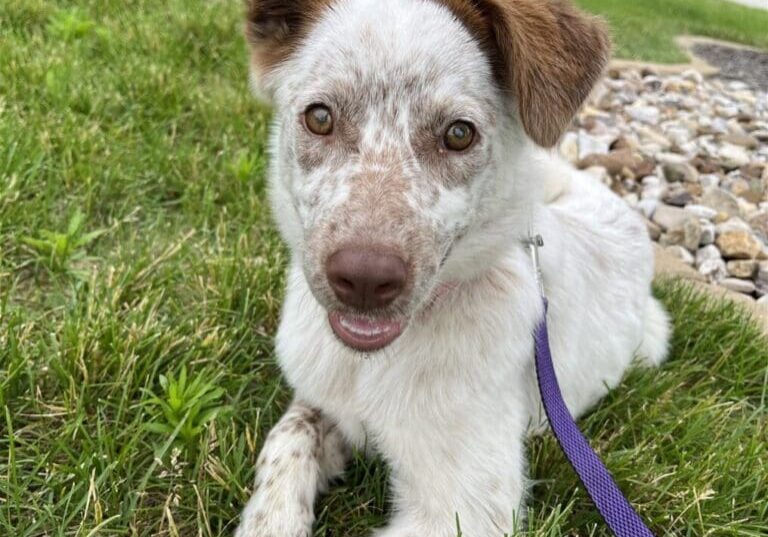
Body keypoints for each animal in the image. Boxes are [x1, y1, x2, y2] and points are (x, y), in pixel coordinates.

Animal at [237, 1, 668, 536]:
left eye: (459, 134)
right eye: (319, 117)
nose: (364, 280)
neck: (372, 365)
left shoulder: (465, 510)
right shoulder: (323, 399)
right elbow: (288, 437)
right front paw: (270, 519)